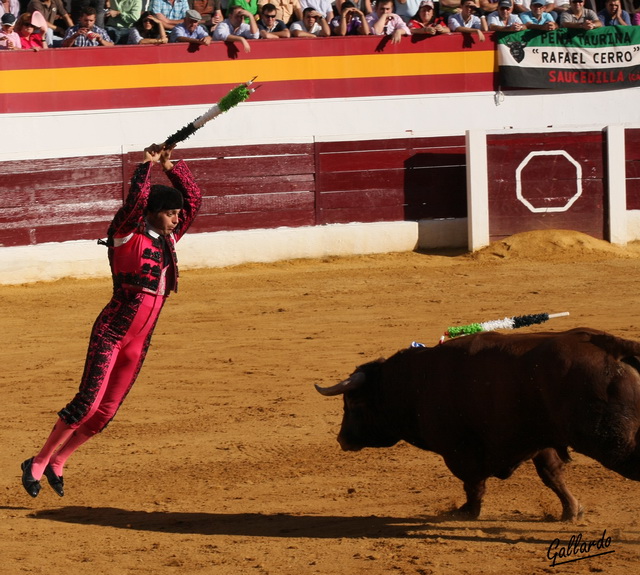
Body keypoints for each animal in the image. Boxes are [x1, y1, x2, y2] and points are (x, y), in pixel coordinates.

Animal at [318, 328, 640, 520]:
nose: (341, 440)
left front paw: (465, 512)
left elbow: (472, 483)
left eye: (354, 403)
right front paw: (572, 511)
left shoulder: (458, 449)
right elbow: (552, 475)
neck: (414, 383)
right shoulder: (538, 440)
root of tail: (614, 347)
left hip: (612, 441)